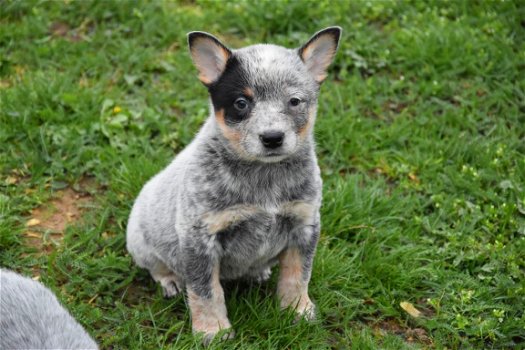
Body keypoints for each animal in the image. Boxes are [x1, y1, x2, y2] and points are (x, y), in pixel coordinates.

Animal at [126, 26, 340, 342]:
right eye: (241, 103)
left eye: (294, 101)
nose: (272, 137)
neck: (263, 177)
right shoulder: (200, 237)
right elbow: (205, 291)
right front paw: (212, 331)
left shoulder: (304, 224)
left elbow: (298, 275)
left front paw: (298, 311)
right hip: (141, 242)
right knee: (157, 266)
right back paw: (171, 281)